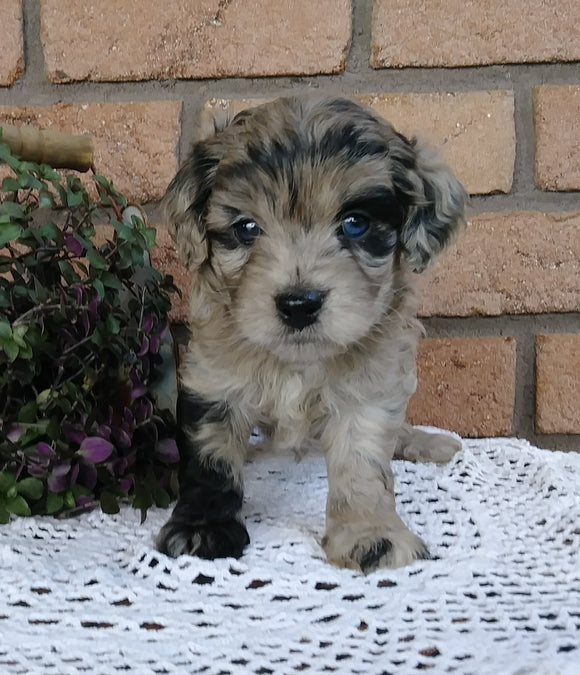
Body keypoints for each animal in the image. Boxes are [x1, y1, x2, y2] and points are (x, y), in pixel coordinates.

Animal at [155, 95, 466, 572]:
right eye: (247, 228)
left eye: (355, 223)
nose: (299, 304)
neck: (297, 362)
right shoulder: (214, 380)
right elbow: (212, 459)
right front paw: (202, 527)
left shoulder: (369, 391)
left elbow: (363, 467)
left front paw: (370, 534)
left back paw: (425, 442)